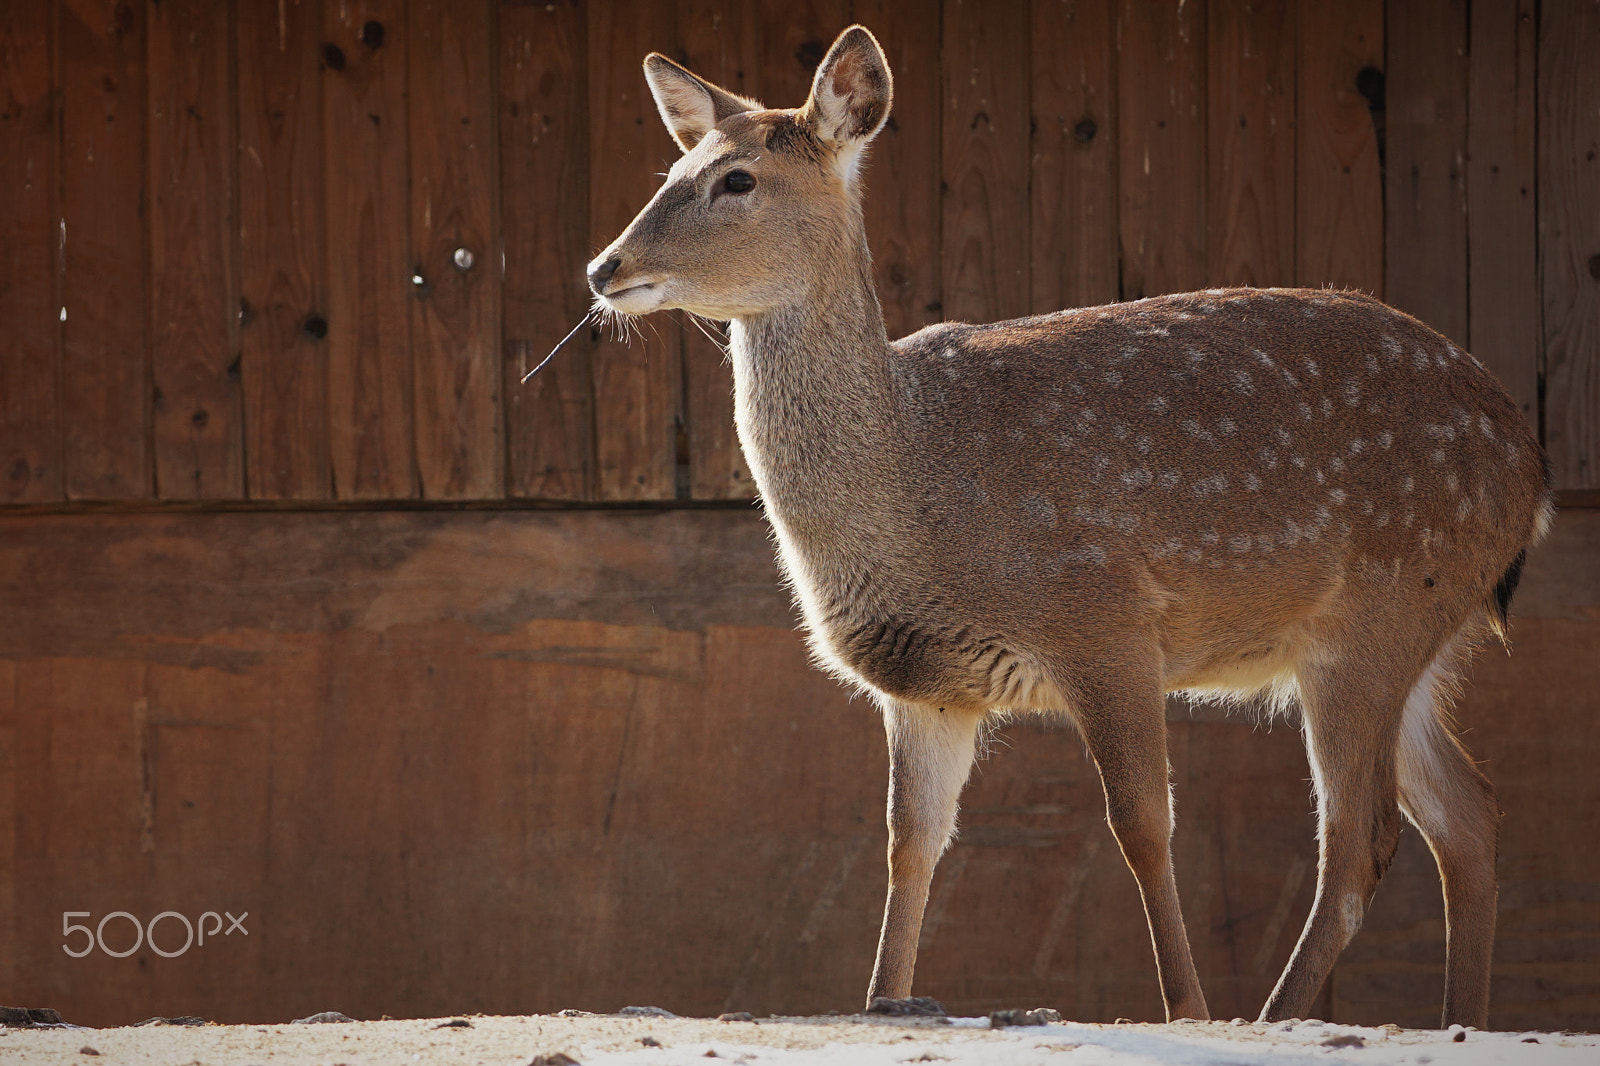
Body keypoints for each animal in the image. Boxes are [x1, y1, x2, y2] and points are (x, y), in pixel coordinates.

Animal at [582, 22, 1555, 1024]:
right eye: (673, 164)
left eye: (736, 180)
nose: (603, 268)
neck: (916, 476)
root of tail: (1529, 468)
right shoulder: (926, 684)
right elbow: (909, 845)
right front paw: (882, 999)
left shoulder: (1102, 618)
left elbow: (1142, 827)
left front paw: (1185, 1010)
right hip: (1418, 632)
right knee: (1468, 814)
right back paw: (1456, 1020)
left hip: (1380, 605)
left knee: (1363, 836)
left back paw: (1275, 1013)